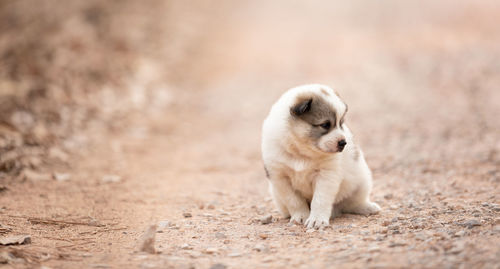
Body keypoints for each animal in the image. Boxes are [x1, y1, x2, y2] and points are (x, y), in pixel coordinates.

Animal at [260, 84, 380, 228]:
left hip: (362, 182)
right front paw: (301, 216)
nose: (343, 143)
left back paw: (368, 207)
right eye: (325, 125)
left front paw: (316, 220)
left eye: (341, 123)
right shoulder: (280, 177)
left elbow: (320, 200)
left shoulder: (326, 175)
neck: (301, 152)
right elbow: (294, 200)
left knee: (352, 203)